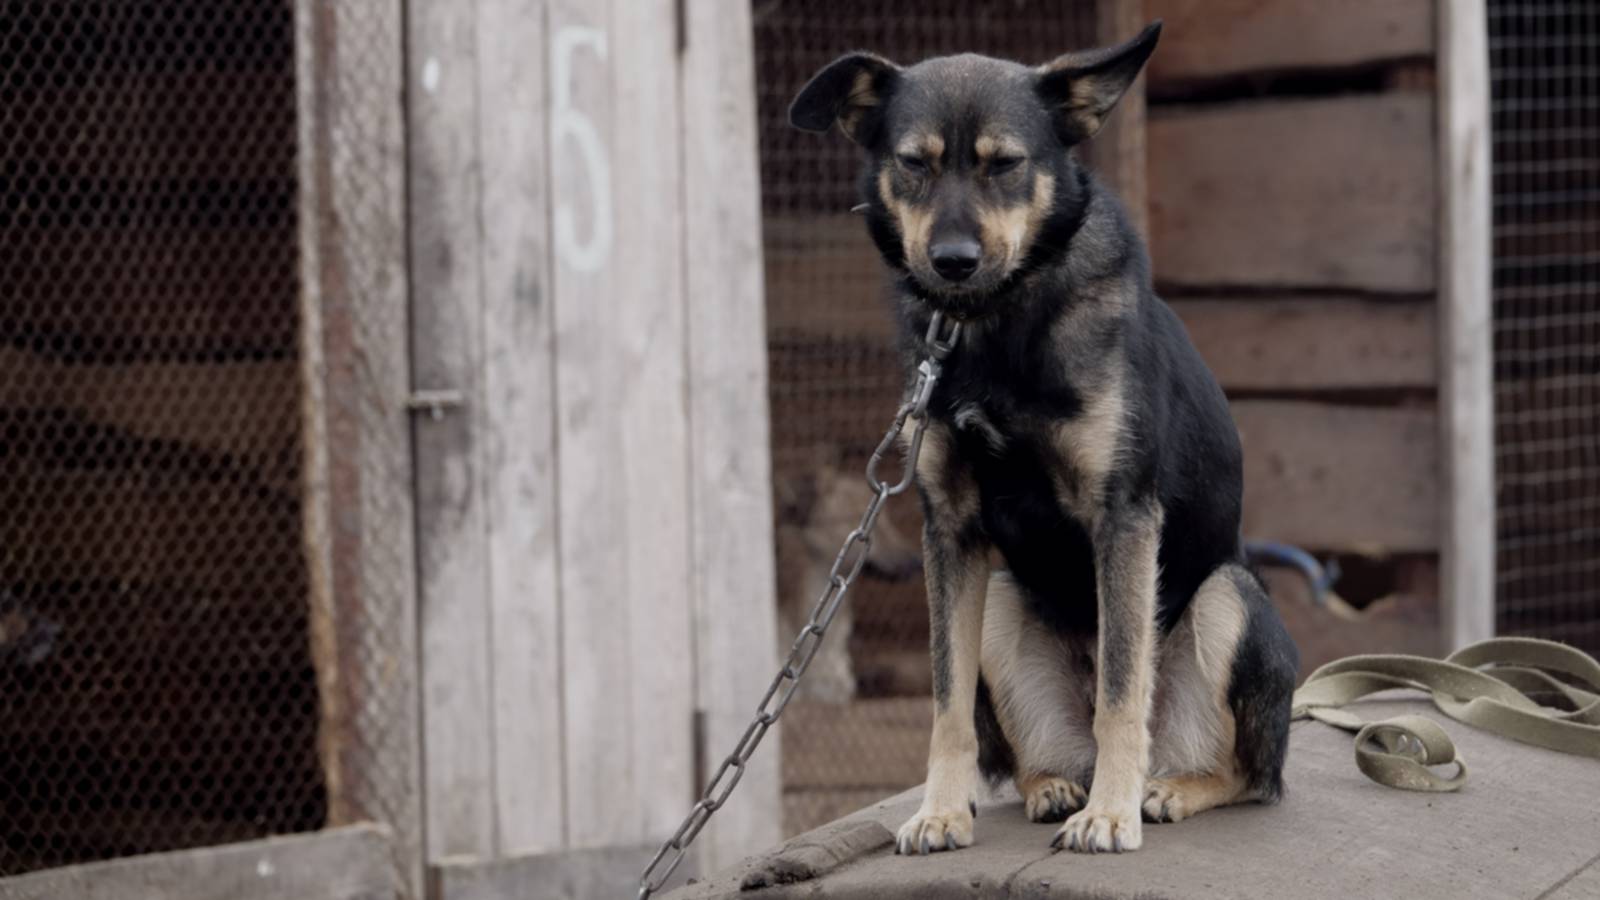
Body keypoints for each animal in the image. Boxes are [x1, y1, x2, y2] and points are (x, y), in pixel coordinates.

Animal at [787, 17, 1299, 851]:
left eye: (1006, 165)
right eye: (914, 164)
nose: (953, 262)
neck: (994, 329)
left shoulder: (1124, 516)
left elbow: (1122, 688)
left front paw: (1113, 815)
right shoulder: (950, 529)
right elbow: (946, 701)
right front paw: (940, 809)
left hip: (1231, 597)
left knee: (1246, 774)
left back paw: (1163, 790)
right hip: (999, 600)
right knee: (1033, 755)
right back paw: (1056, 786)